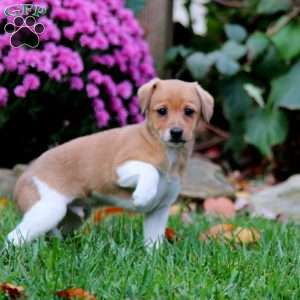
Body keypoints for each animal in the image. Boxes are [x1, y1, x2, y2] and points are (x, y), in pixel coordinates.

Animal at [6, 78, 213, 248]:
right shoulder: (119, 169)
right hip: (47, 211)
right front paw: (143, 196)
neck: (168, 152)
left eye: (189, 111)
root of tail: (23, 176)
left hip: (72, 217)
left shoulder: (159, 211)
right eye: (162, 111)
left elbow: (153, 243)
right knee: (14, 238)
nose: (176, 132)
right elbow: (149, 169)